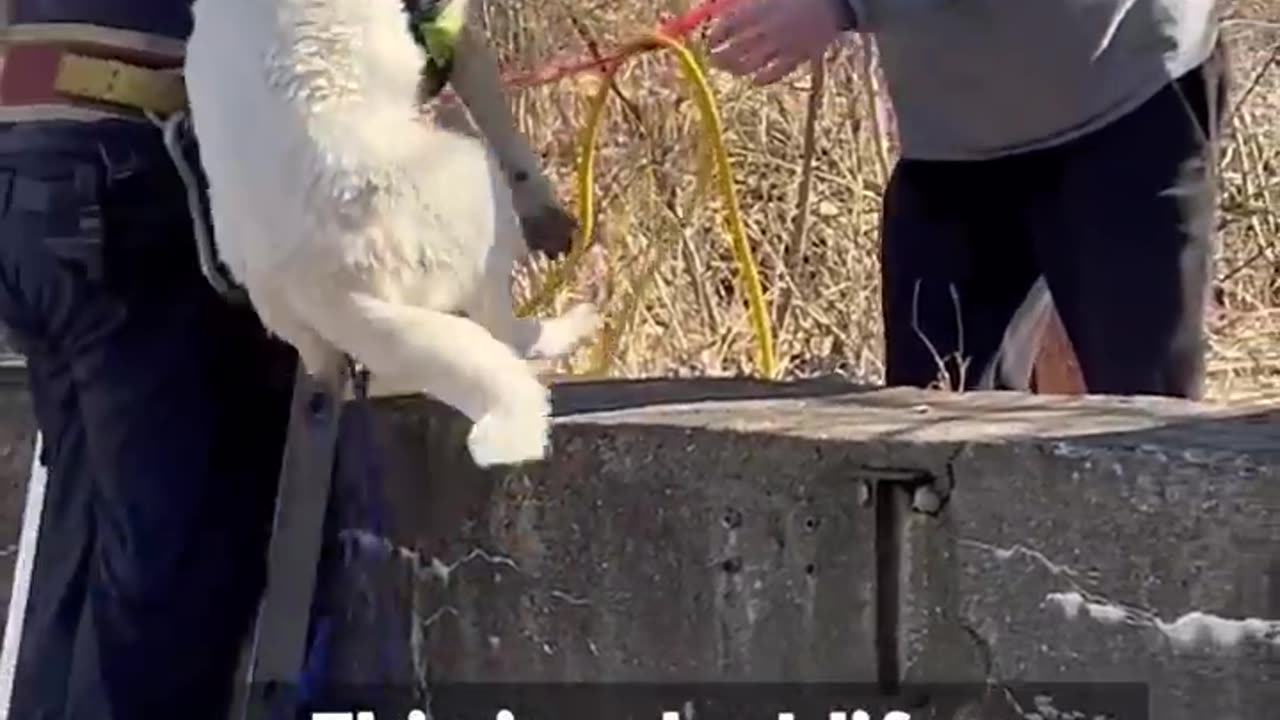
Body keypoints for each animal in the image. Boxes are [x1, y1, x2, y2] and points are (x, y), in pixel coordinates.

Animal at [184, 0, 599, 466]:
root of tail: (320, 286)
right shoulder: (462, 41)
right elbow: (507, 137)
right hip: (473, 183)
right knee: (507, 333)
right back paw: (570, 326)